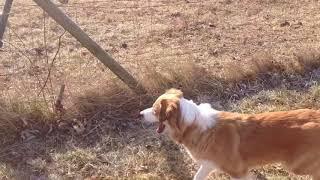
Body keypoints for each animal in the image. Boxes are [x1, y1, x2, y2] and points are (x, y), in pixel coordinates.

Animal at [140, 88, 320, 180]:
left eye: (155, 111)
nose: (139, 114)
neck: (192, 124)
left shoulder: (237, 172)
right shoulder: (209, 164)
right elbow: (197, 177)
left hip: (296, 166)